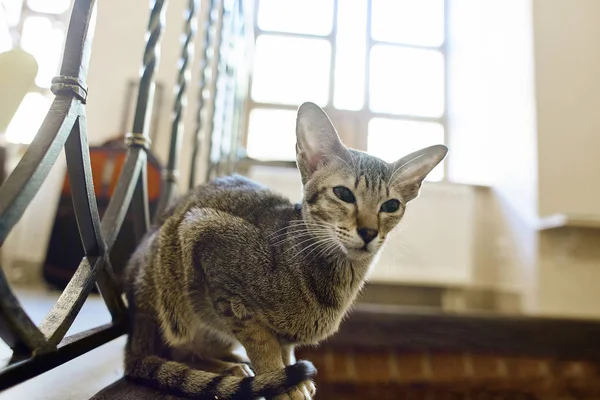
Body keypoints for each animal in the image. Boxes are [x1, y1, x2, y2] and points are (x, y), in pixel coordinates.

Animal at [124, 101, 448, 398]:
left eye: (390, 205)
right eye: (343, 193)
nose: (369, 232)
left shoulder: (283, 334)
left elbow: (285, 348)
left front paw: (291, 378)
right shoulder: (211, 250)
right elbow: (263, 344)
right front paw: (278, 381)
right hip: (174, 276)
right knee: (177, 350)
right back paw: (229, 369)